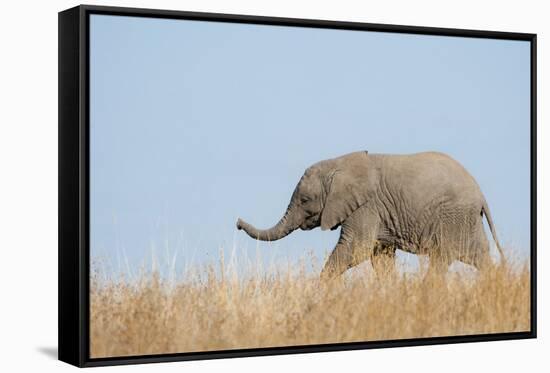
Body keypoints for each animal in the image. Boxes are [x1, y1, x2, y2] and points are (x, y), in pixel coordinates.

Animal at [236, 150, 504, 278]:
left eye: (304, 200)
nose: (237, 222)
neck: (339, 164)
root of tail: (480, 193)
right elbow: (380, 257)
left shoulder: (366, 207)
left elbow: (355, 249)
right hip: (465, 220)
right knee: (479, 257)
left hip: (452, 216)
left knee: (442, 258)